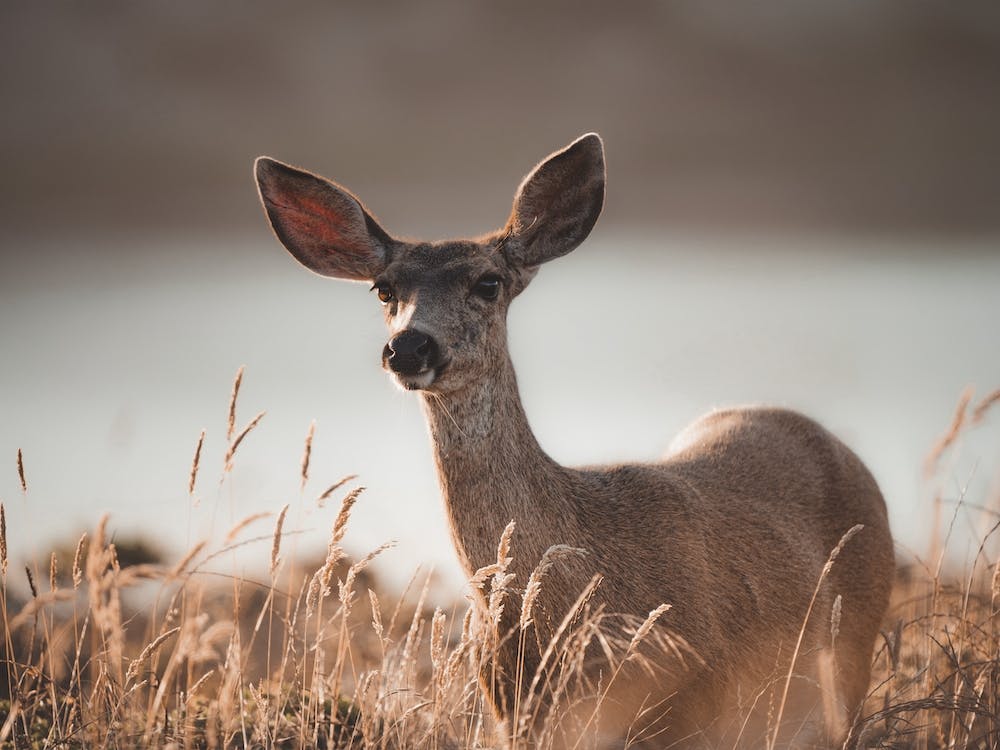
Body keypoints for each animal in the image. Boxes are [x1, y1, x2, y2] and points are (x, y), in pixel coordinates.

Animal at [254, 134, 894, 749]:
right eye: (385, 289)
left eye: (488, 282)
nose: (410, 346)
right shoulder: (513, 709)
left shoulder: (692, 703)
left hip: (851, 658)